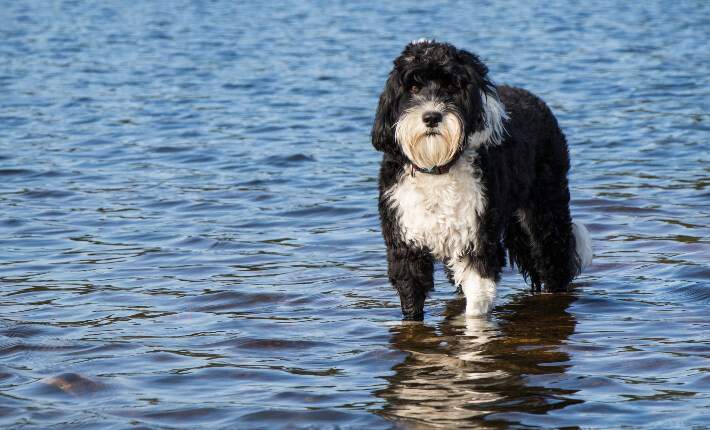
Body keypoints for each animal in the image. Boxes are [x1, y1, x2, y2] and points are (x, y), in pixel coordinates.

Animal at [370, 39, 592, 320]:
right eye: (413, 87)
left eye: (451, 86)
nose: (431, 117)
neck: (438, 167)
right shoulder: (406, 247)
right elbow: (411, 301)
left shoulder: (477, 241)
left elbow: (476, 307)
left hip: (544, 212)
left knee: (555, 260)